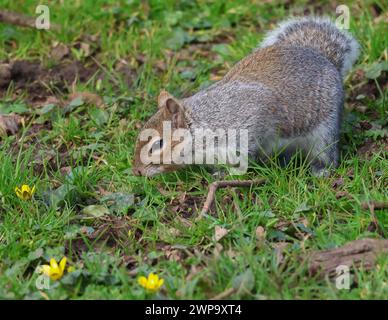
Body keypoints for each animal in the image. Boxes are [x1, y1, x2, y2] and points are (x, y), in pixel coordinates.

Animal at [132, 16, 360, 178]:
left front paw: (233, 170)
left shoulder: (250, 118)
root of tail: (325, 60)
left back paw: (322, 169)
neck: (202, 123)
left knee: (327, 154)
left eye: (159, 144)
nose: (137, 171)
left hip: (325, 131)